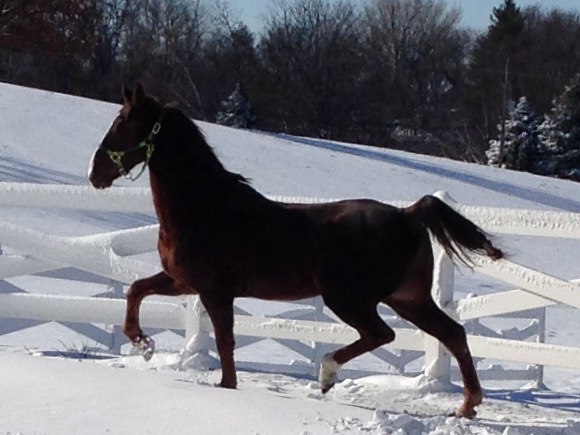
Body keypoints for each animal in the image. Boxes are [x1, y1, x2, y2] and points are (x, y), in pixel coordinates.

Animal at [87, 82, 502, 418]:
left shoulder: (214, 291)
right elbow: (136, 289)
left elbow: (225, 343)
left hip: (350, 298)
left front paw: (225, 387)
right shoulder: (182, 282)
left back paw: (327, 373)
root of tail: (408, 213)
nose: (95, 173)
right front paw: (142, 343)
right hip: (408, 298)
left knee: (382, 334)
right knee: (453, 334)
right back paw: (467, 406)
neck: (205, 208)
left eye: (123, 122)